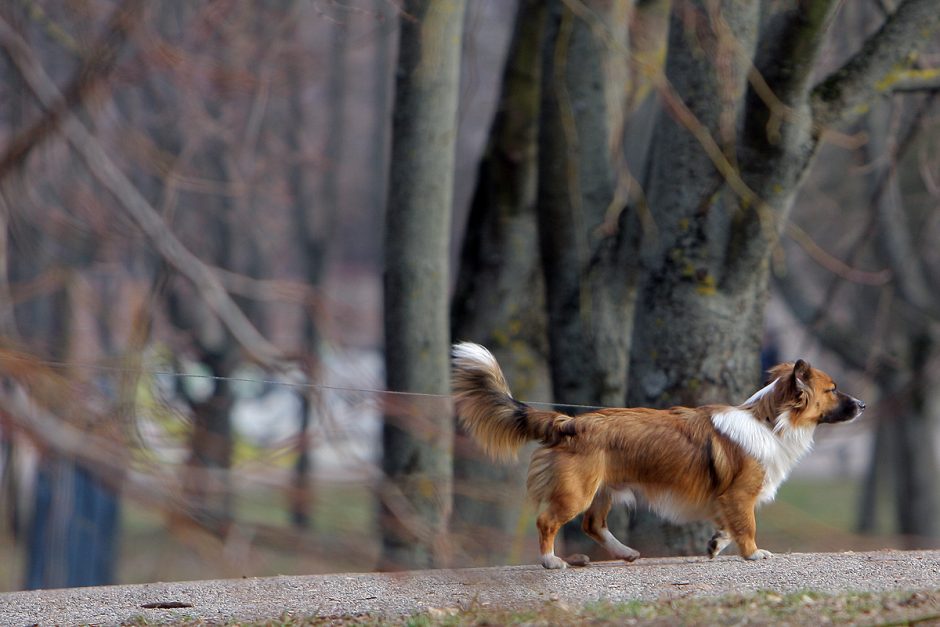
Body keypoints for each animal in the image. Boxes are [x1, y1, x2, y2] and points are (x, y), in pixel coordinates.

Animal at [452, 344, 864, 568]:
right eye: (832, 389)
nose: (863, 405)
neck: (769, 422)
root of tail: (569, 423)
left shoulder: (726, 500)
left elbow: (727, 526)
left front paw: (717, 543)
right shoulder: (739, 495)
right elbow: (746, 526)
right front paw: (753, 554)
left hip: (602, 491)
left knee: (593, 526)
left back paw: (624, 553)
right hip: (577, 491)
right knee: (548, 522)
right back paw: (551, 560)